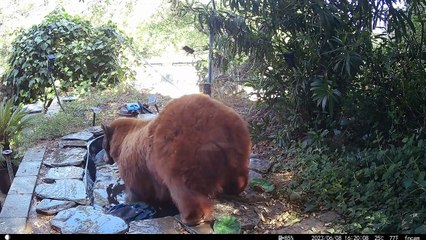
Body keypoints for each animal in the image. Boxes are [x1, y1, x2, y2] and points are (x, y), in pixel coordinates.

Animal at [101, 93, 251, 225]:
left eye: (103, 145)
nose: (104, 159)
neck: (121, 140)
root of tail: (217, 128)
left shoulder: (135, 165)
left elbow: (136, 188)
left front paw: (131, 200)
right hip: (238, 143)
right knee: (238, 174)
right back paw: (236, 188)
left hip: (179, 151)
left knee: (182, 186)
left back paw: (191, 216)